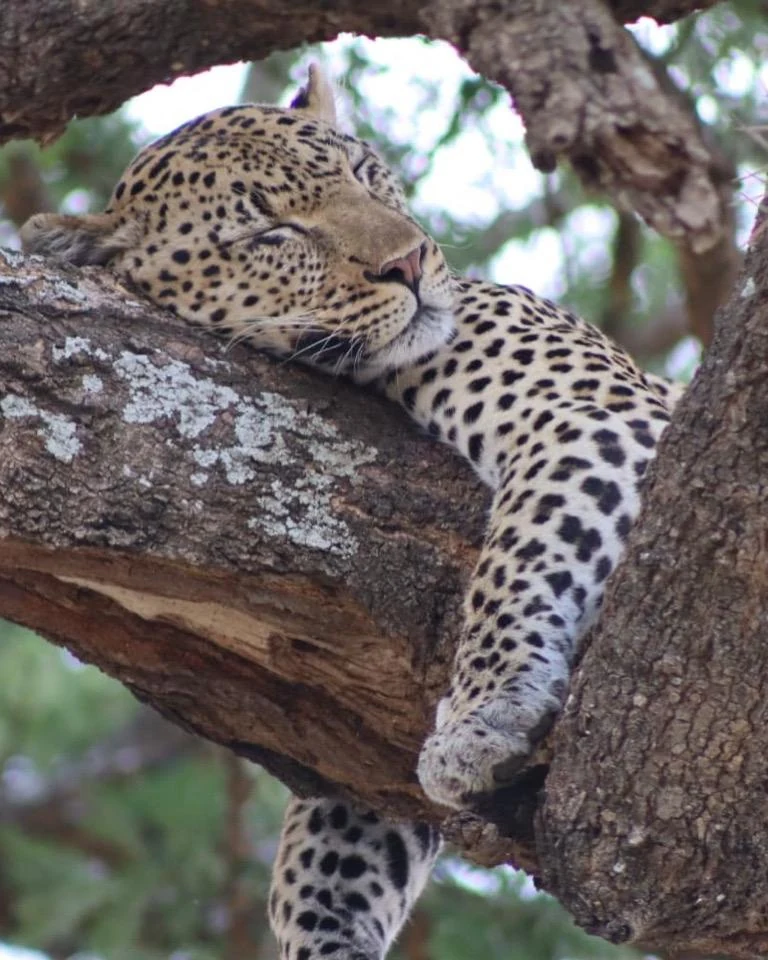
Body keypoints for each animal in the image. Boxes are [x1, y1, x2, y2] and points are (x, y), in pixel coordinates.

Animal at [21, 65, 681, 960]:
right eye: (273, 233)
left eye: (365, 174)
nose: (410, 261)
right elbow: (326, 852)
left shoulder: (595, 414)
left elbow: (514, 567)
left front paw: (482, 716)